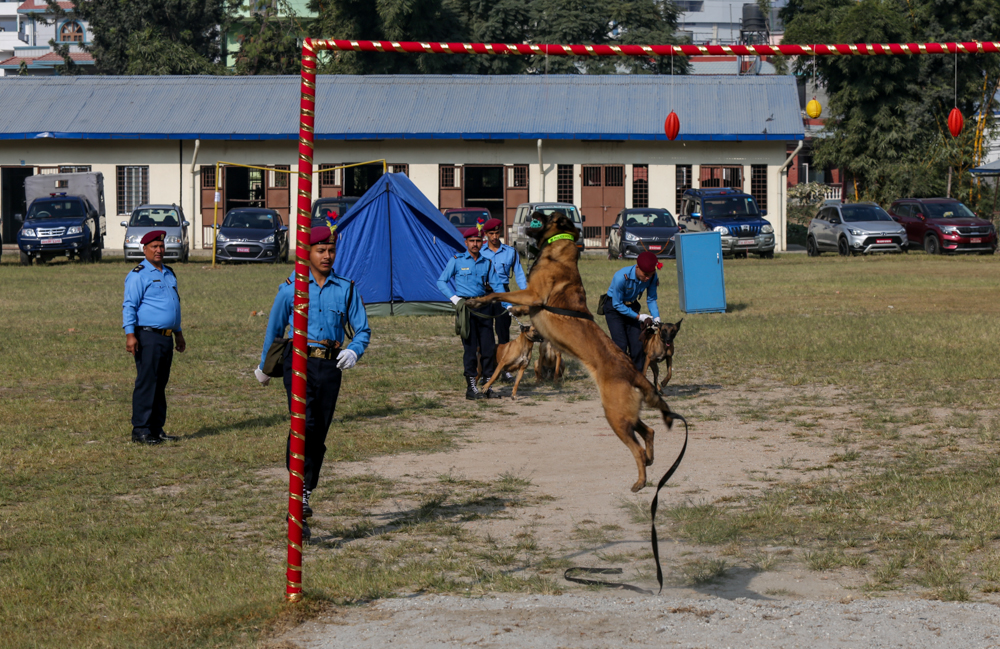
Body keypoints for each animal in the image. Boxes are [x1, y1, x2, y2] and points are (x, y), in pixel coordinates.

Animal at [466, 210, 672, 488]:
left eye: (548, 215)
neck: (558, 246)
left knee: (637, 448)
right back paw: (650, 460)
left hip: (616, 415)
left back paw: (640, 481)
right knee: (649, 431)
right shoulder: (529, 300)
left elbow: (497, 295)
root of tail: (632, 371)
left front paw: (477, 300)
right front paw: (511, 310)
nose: (533, 211)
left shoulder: (532, 293)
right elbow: (512, 305)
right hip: (626, 413)